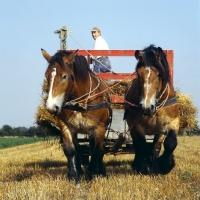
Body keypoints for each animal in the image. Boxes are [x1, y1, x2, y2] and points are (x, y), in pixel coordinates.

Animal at [41, 48, 111, 183]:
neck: (80, 102)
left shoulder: (99, 128)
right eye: (47, 76)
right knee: (79, 149)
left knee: (94, 148)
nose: (51, 107)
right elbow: (70, 150)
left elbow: (98, 151)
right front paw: (73, 175)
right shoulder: (65, 126)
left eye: (64, 76)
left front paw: (100, 173)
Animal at [125, 45, 180, 173]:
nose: (146, 107)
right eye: (138, 74)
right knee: (137, 145)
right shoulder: (138, 126)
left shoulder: (172, 123)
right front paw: (142, 168)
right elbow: (142, 146)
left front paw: (164, 165)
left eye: (159, 74)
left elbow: (168, 144)